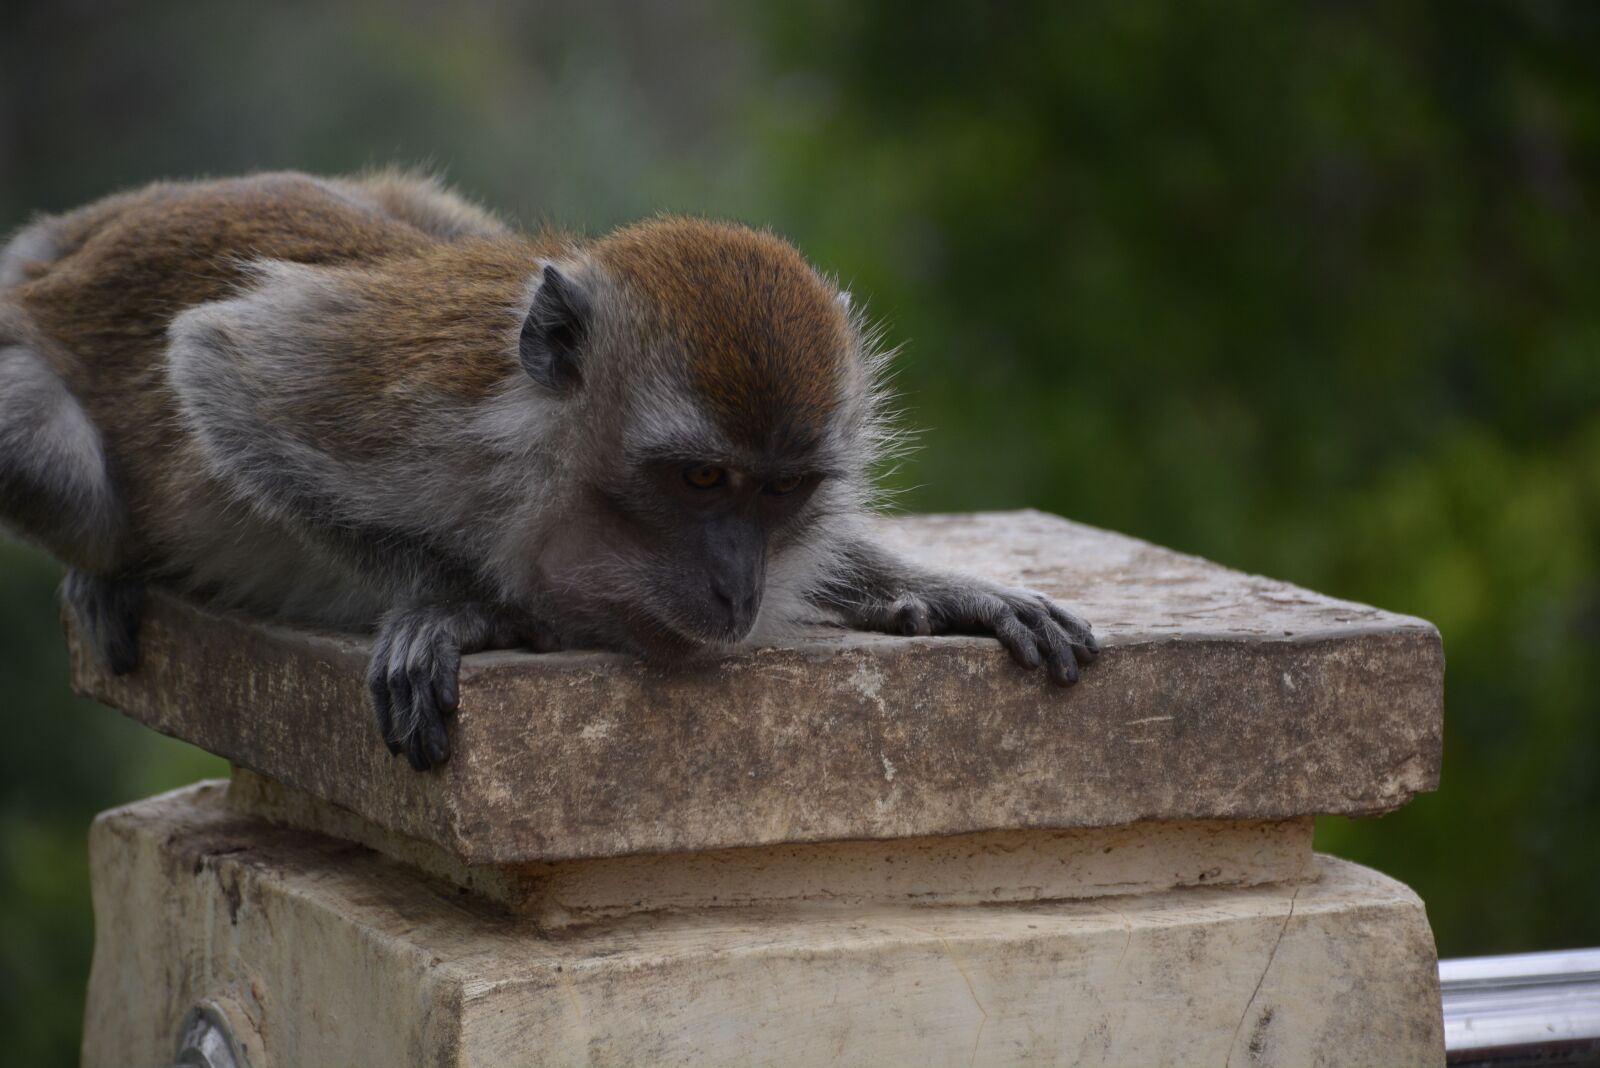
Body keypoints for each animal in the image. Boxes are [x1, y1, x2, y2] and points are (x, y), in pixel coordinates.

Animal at [0, 171, 1097, 771]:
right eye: (702, 481)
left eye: (781, 490)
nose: (736, 583)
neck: (553, 454)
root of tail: (59, 257)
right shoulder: (412, 409)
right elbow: (216, 364)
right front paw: (462, 607)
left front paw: (942, 591)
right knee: (53, 463)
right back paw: (107, 567)